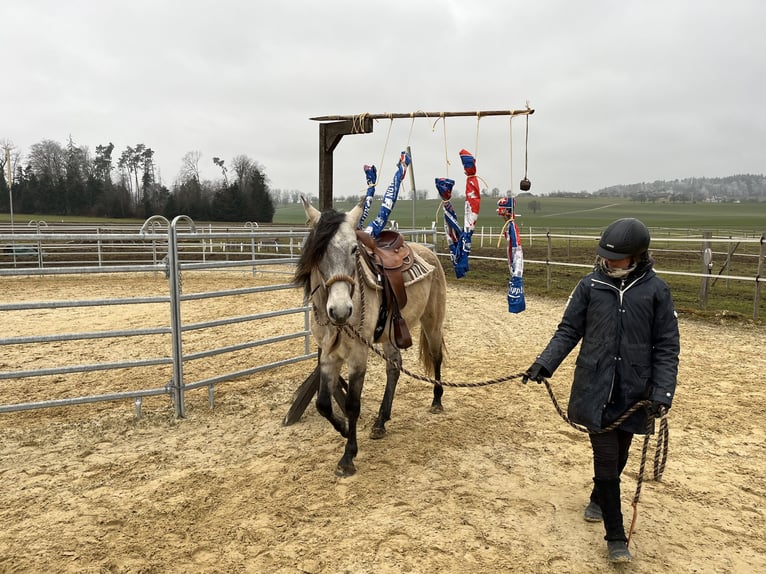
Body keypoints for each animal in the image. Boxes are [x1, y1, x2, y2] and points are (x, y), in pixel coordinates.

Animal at [294, 197, 450, 476]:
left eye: (354, 249)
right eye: (318, 250)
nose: (341, 310)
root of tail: (428, 251)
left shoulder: (358, 355)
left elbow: (353, 404)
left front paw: (348, 456)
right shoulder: (328, 355)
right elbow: (323, 403)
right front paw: (344, 428)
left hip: (432, 322)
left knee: (436, 357)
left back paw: (436, 401)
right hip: (390, 335)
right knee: (394, 367)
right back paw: (381, 421)